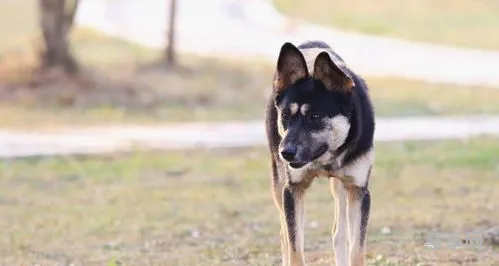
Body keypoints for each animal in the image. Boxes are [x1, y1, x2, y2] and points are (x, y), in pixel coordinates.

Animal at [266, 40, 376, 266]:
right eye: (285, 115)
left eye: (315, 116)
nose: (285, 153)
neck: (325, 160)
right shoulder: (292, 190)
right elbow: (295, 248)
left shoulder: (358, 189)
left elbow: (356, 249)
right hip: (278, 183)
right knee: (284, 236)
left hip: (341, 187)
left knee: (339, 233)